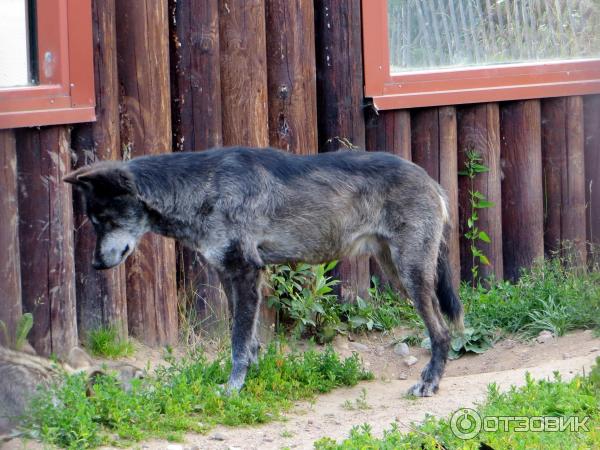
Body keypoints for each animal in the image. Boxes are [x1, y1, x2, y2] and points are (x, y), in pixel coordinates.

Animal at [65, 146, 464, 396]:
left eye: (103, 220)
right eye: (93, 221)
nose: (96, 264)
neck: (202, 188)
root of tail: (431, 182)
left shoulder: (246, 273)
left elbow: (238, 342)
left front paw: (232, 389)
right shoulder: (230, 277)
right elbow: (249, 340)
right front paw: (252, 379)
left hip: (411, 276)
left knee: (442, 332)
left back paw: (429, 384)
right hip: (399, 276)